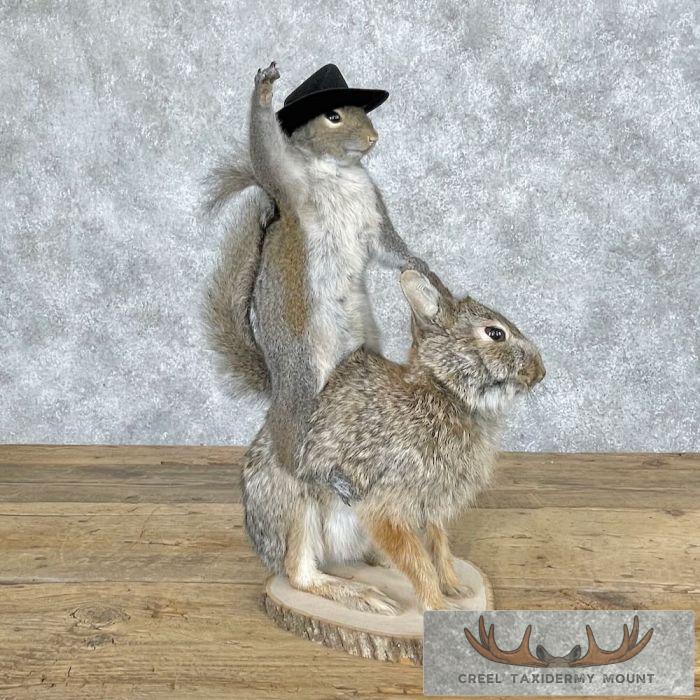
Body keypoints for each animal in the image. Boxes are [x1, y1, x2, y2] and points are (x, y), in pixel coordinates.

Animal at [205, 62, 441, 475]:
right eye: (333, 115)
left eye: (363, 111)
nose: (373, 137)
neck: (340, 172)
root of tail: (278, 381)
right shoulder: (287, 180)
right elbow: (264, 149)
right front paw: (263, 89)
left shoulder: (373, 216)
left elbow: (387, 247)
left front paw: (417, 263)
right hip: (304, 371)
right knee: (288, 437)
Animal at [243, 270, 545, 614]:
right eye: (495, 333)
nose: (540, 373)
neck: (443, 392)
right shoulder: (385, 502)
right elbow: (417, 561)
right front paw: (439, 606)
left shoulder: (432, 505)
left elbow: (439, 546)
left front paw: (456, 588)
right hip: (297, 506)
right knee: (299, 574)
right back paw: (368, 596)